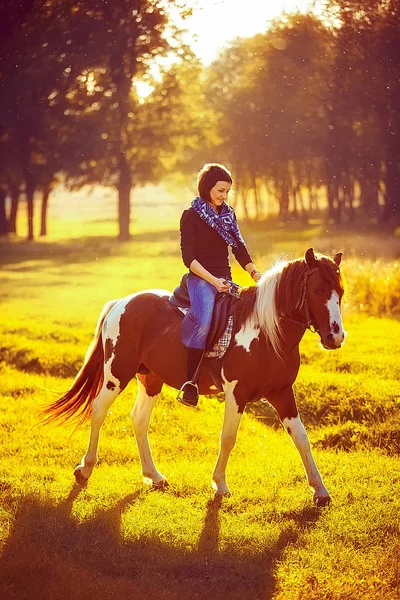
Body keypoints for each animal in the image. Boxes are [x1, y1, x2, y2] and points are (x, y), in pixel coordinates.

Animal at [43, 248, 344, 506]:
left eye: (340, 291)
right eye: (317, 290)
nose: (336, 337)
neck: (267, 332)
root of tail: (121, 303)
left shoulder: (282, 393)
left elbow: (301, 438)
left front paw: (320, 491)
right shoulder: (237, 395)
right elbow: (228, 437)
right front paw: (220, 484)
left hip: (151, 380)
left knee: (139, 419)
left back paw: (154, 476)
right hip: (116, 374)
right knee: (98, 410)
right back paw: (85, 469)